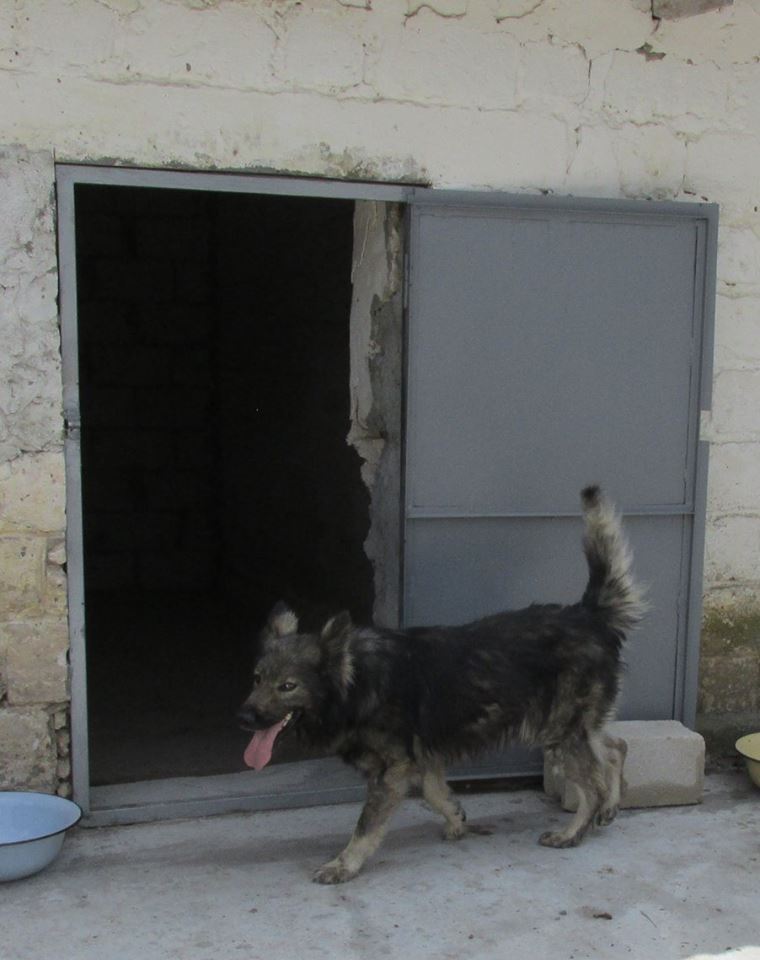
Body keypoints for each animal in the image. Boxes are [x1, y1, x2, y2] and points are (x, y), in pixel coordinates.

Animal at [237, 486, 644, 883]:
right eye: (257, 679)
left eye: (287, 686)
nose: (244, 718)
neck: (357, 682)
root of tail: (587, 615)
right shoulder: (423, 757)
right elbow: (434, 793)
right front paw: (456, 817)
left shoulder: (391, 771)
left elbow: (366, 826)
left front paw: (344, 864)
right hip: (574, 728)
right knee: (614, 748)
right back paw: (610, 807)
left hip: (559, 732)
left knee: (592, 785)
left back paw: (572, 832)